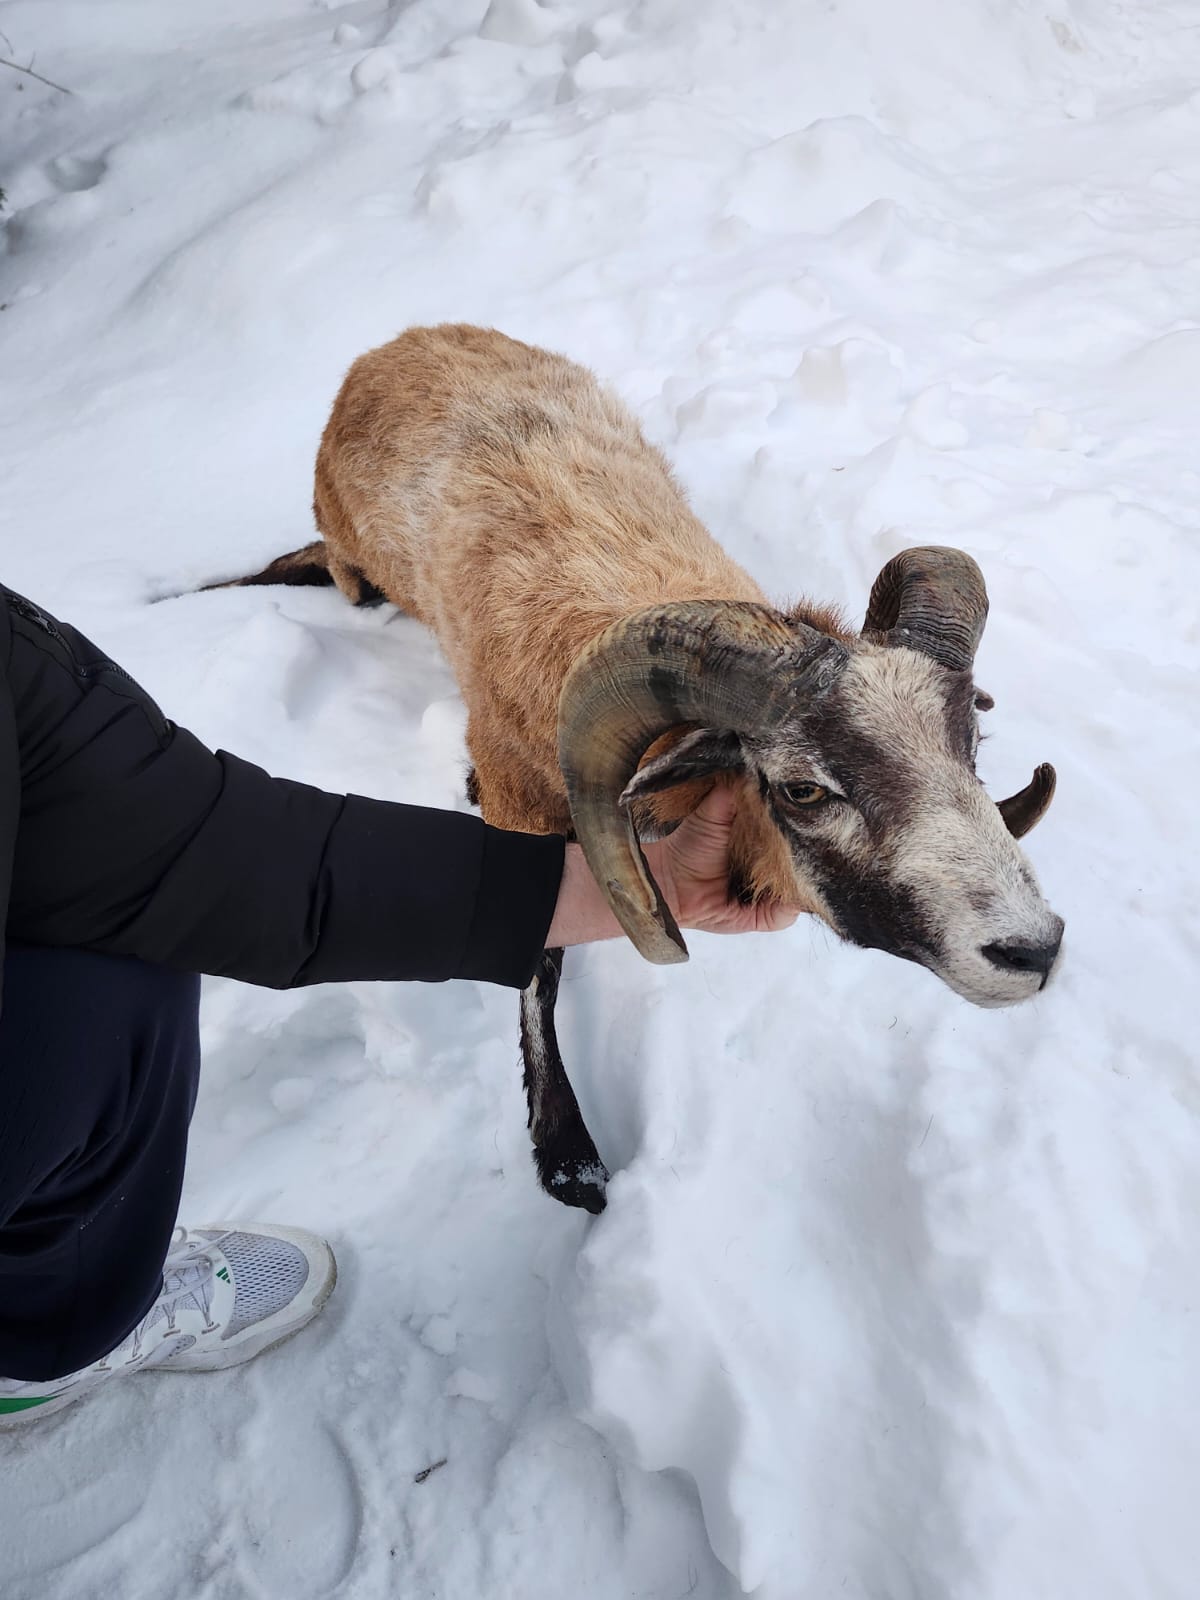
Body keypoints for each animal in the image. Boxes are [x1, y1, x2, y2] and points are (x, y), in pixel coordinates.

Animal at [213, 323, 1064, 1214]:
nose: (1034, 951)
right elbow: (535, 965)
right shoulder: (522, 818)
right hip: (354, 563)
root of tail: (393, 344)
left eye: (971, 747)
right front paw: (567, 1155)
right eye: (802, 788)